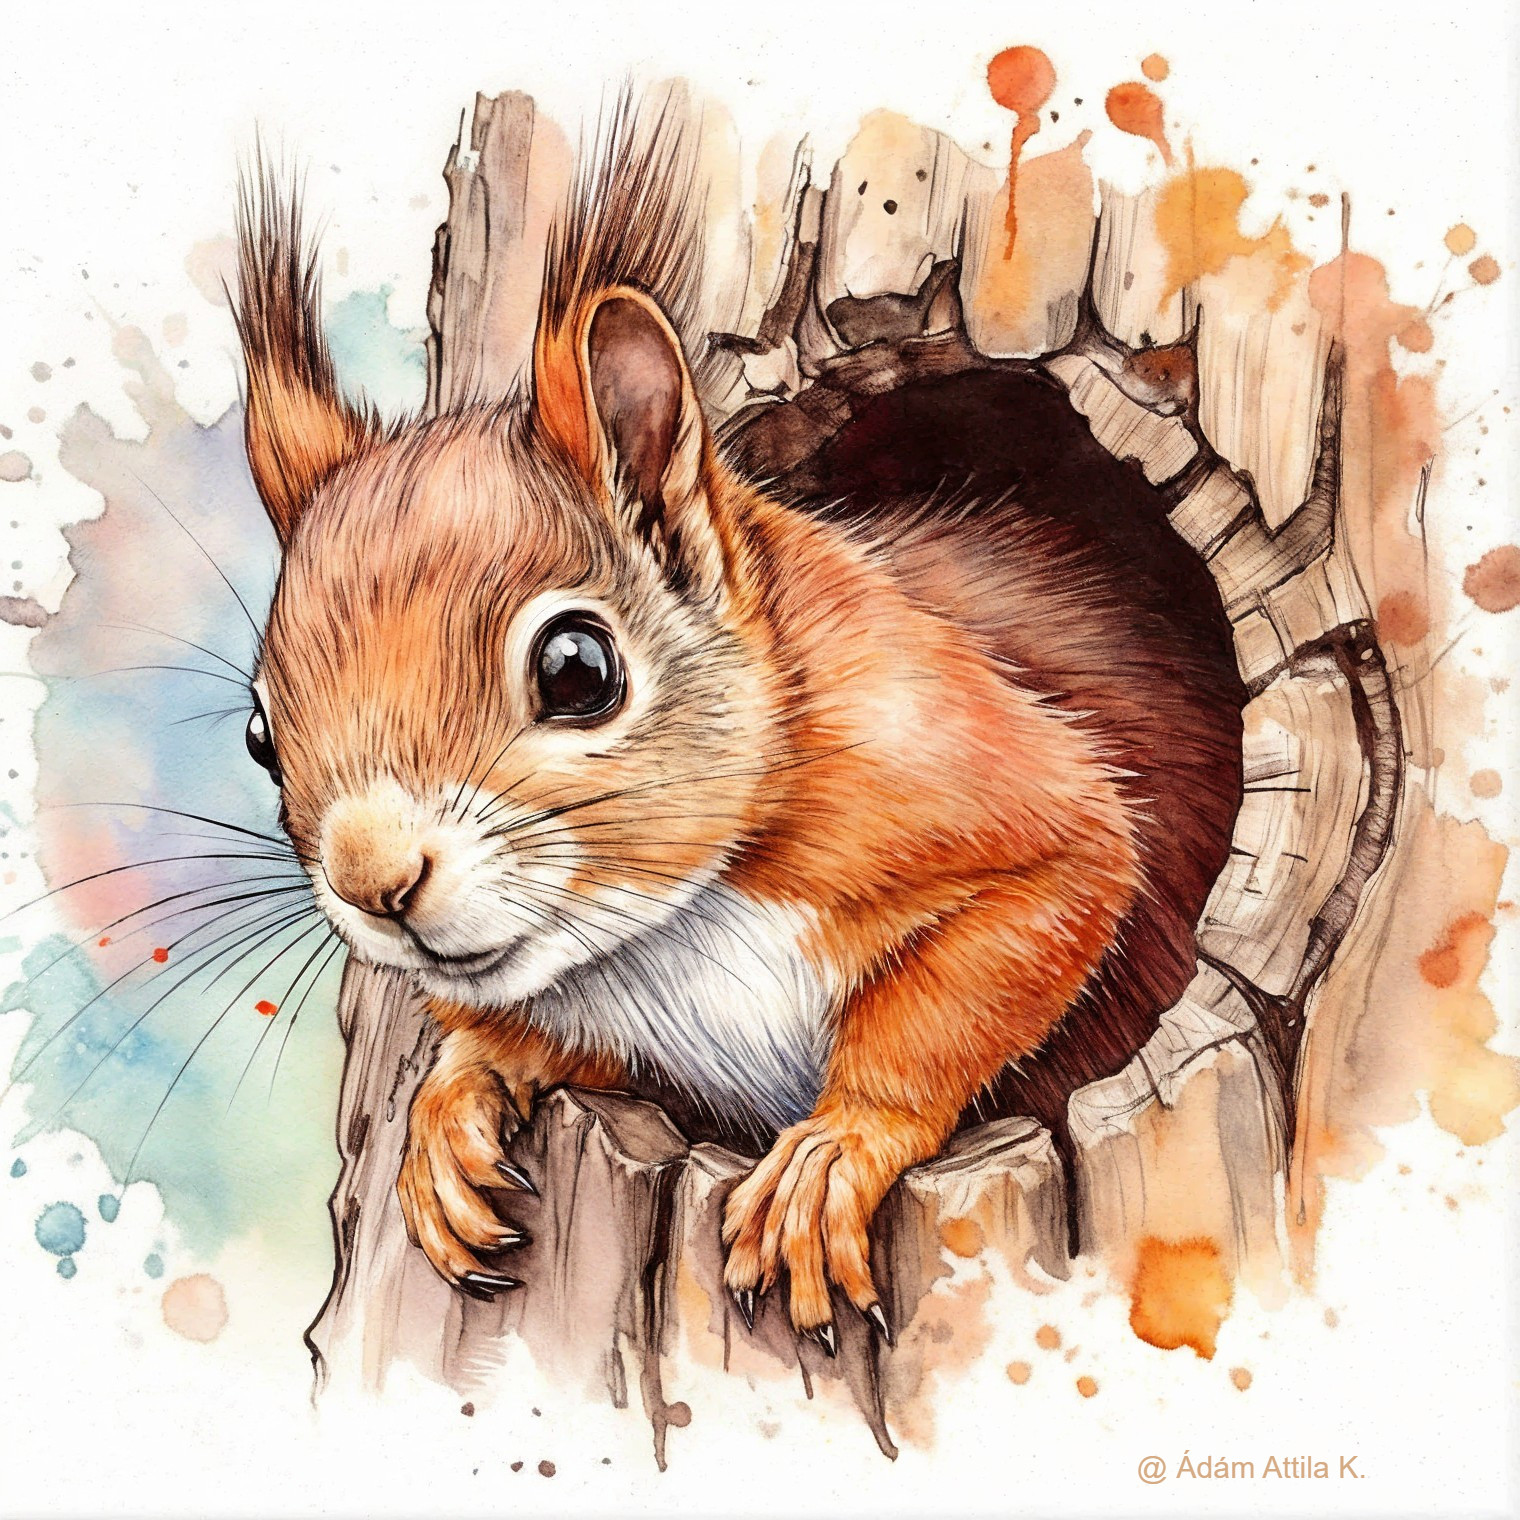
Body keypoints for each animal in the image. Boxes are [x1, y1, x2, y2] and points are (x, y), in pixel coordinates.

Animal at [232, 98, 1245, 1347]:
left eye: (577, 668)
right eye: (260, 735)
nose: (375, 880)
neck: (669, 933)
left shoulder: (972, 777)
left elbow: (1013, 928)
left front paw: (836, 1149)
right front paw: (454, 1101)